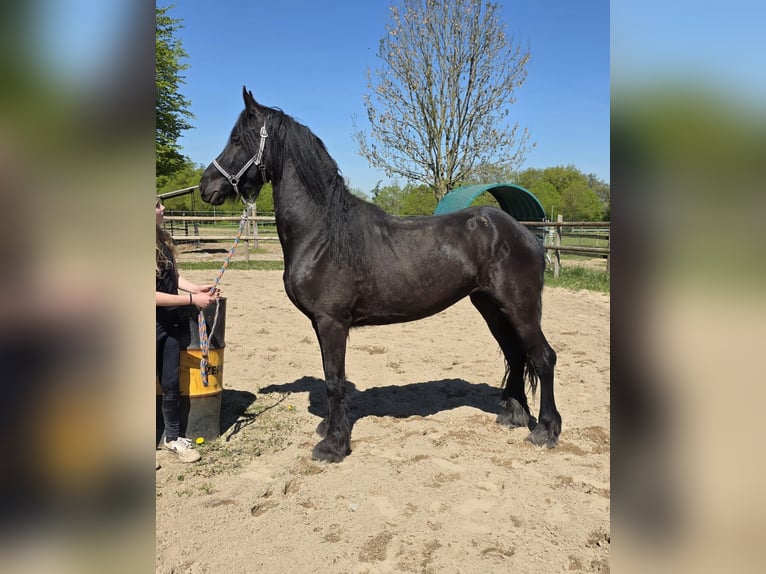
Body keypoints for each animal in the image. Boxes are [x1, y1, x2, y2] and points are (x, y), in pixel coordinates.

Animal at [199, 87, 561, 463]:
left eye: (237, 139)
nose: (205, 186)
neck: (322, 232)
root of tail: (526, 233)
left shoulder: (332, 322)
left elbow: (335, 380)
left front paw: (333, 445)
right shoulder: (320, 323)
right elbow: (332, 378)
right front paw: (331, 429)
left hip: (519, 308)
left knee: (543, 358)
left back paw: (545, 431)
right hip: (490, 306)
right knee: (516, 354)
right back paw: (513, 415)